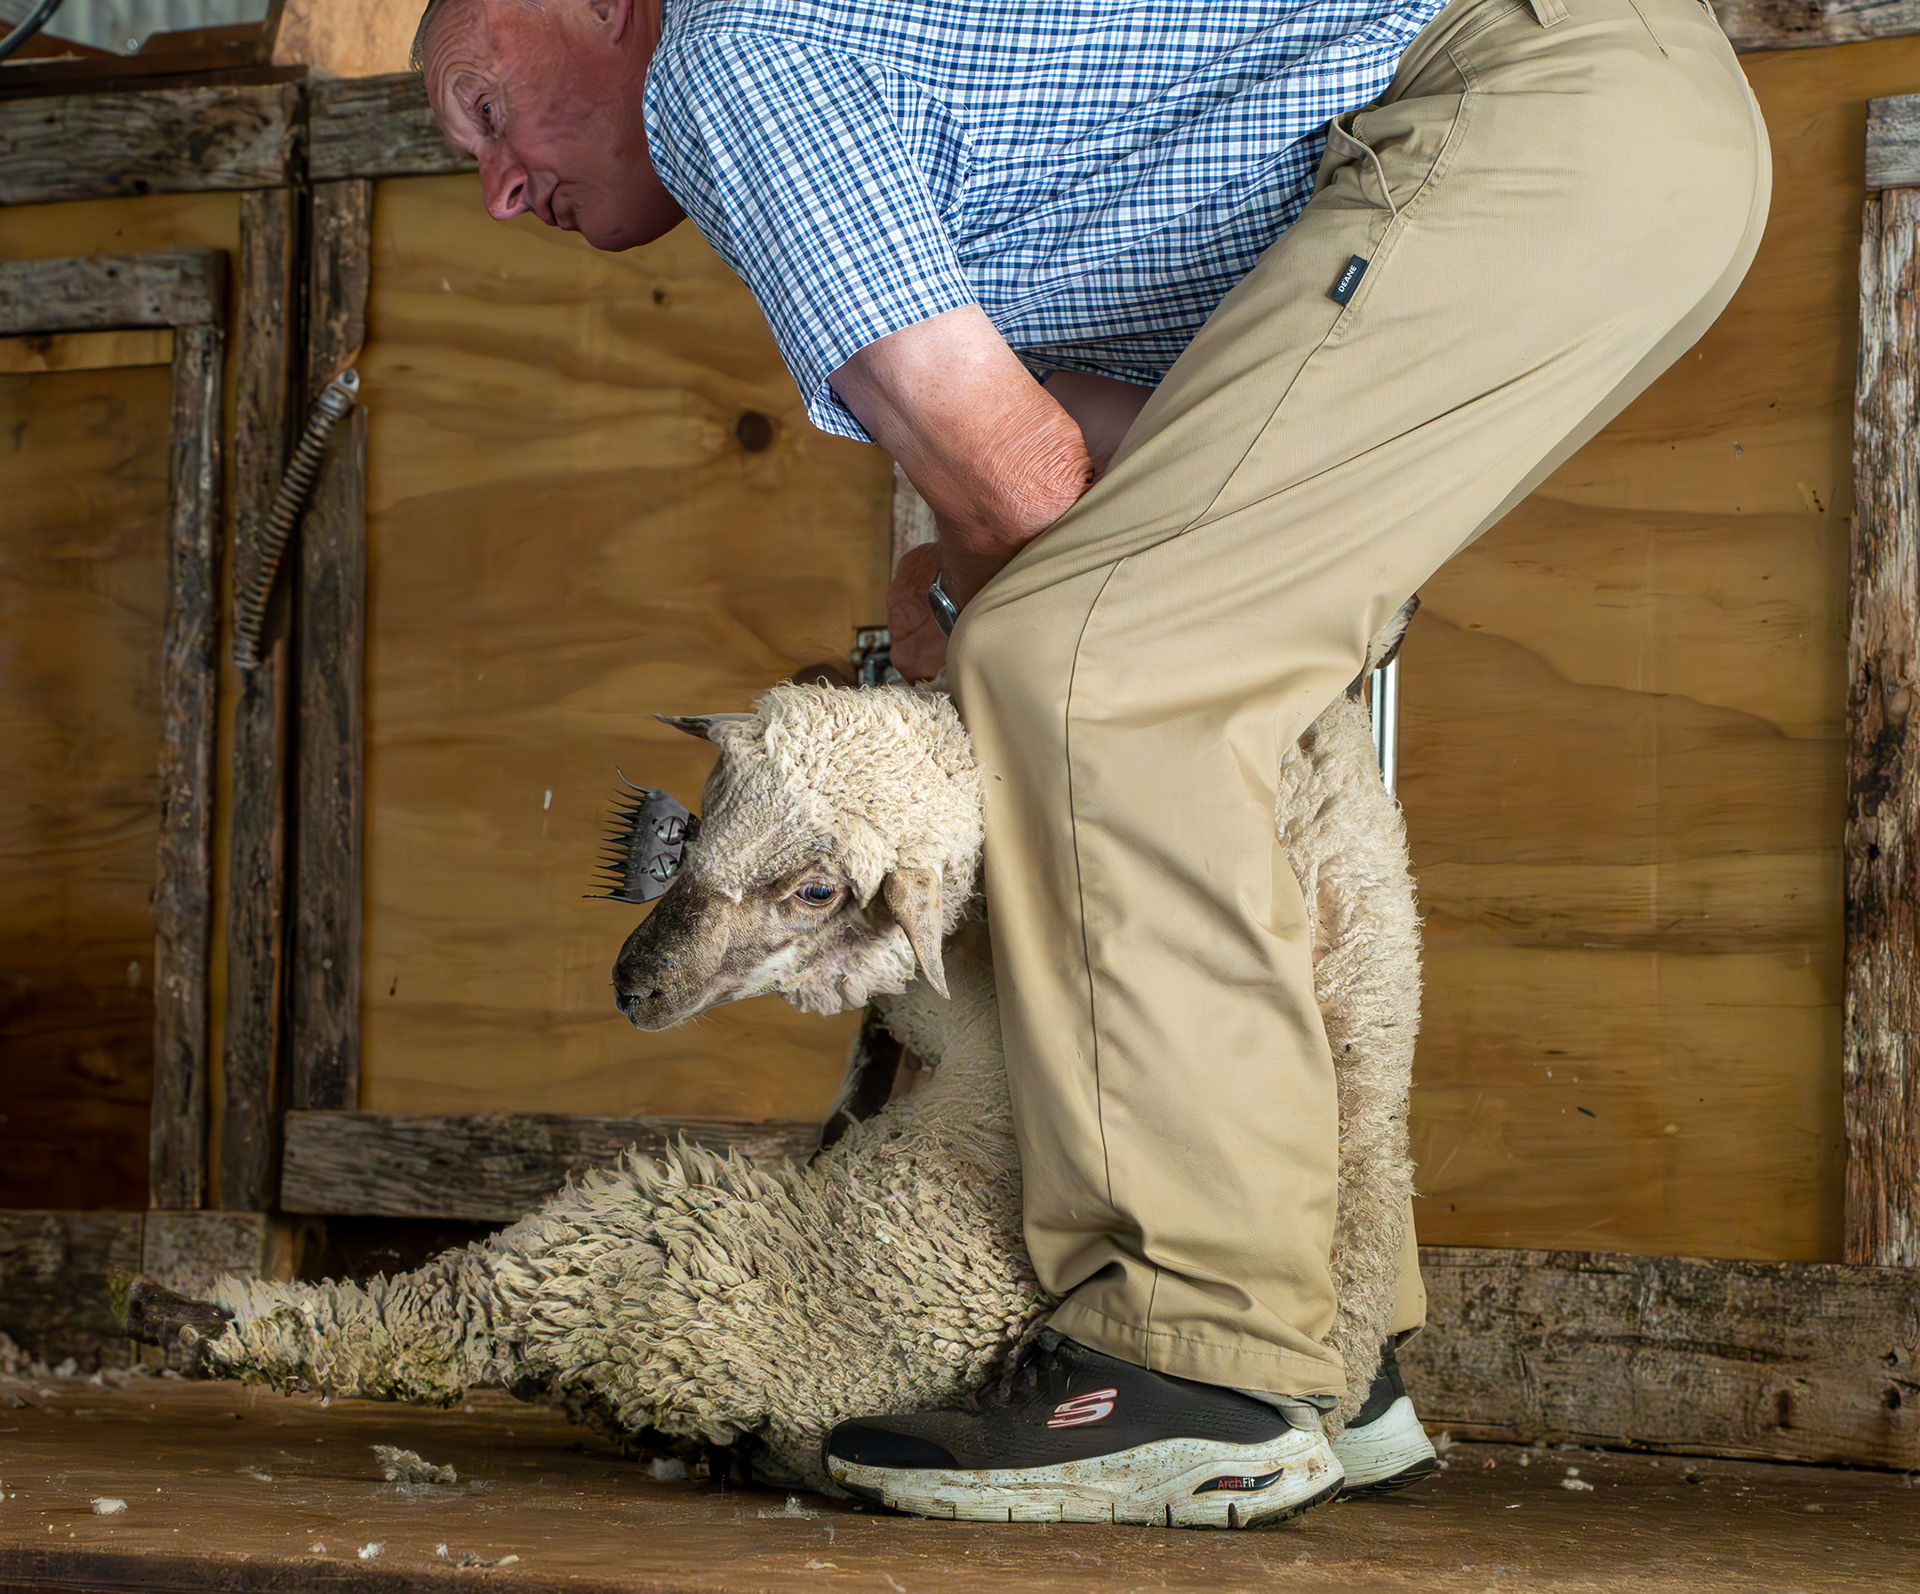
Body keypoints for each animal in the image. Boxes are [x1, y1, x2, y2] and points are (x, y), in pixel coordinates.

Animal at [121, 613, 1420, 1495]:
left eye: (816, 888)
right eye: (699, 817)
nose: (632, 983)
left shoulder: (964, 1000)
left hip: (648, 1241)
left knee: (423, 1321)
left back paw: (190, 1316)